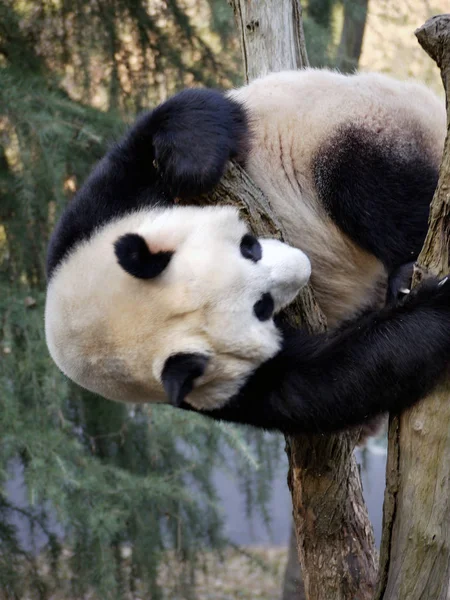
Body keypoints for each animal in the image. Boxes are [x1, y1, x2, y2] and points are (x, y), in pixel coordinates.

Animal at [44, 70, 450, 434]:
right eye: (262, 307)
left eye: (248, 246)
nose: (303, 263)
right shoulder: (224, 388)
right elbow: (326, 382)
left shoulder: (92, 220)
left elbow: (185, 116)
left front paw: (191, 165)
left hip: (363, 123)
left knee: (375, 187)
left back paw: (403, 270)